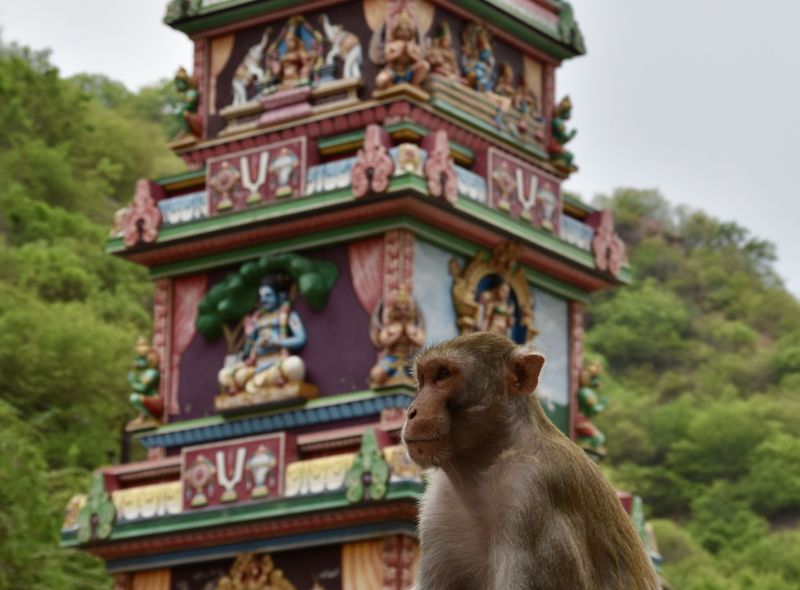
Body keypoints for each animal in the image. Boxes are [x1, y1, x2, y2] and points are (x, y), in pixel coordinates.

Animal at [402, 332, 660, 590]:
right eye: (423, 379)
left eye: (442, 375)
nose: (411, 411)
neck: (482, 471)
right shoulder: (438, 507)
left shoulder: (531, 491)